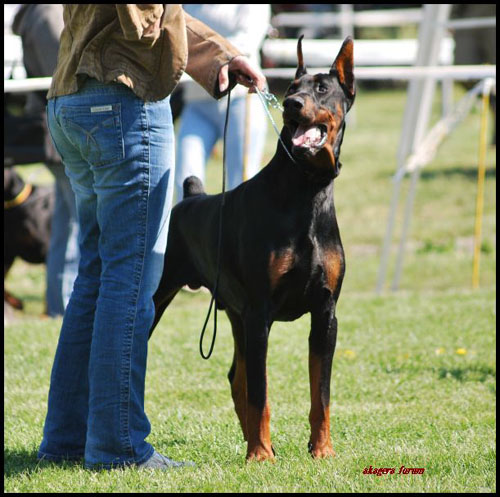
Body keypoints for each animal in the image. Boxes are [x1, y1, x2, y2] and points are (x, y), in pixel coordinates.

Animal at [152, 35, 356, 462]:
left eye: (322, 89)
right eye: (291, 88)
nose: (293, 105)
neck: (305, 189)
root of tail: (190, 197)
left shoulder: (325, 313)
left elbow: (321, 393)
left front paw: (322, 449)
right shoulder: (261, 312)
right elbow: (262, 394)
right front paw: (261, 456)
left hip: (235, 314)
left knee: (237, 377)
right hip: (165, 297)